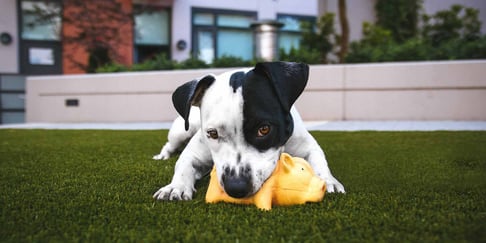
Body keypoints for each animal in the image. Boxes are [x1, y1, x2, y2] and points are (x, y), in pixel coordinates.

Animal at [154, 61, 344, 200]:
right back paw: (163, 156)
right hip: (181, 131)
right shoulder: (194, 153)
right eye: (212, 133)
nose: (236, 187)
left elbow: (319, 161)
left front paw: (328, 180)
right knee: (169, 145)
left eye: (264, 129)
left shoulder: (307, 146)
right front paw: (175, 187)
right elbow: (183, 165)